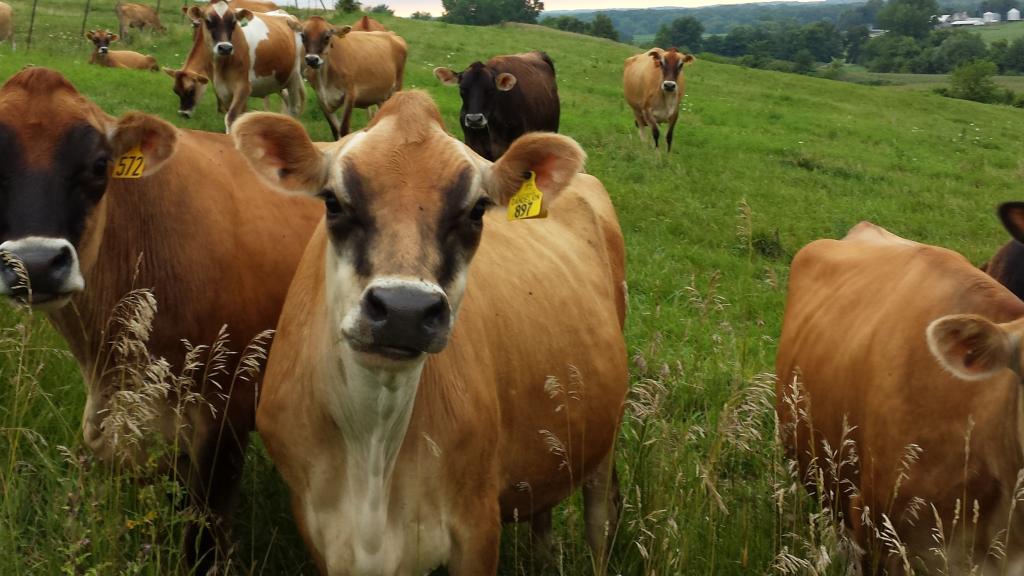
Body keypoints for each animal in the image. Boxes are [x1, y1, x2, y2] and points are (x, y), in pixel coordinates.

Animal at [186, 1, 303, 131]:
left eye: (233, 23)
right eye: (208, 21)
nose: (225, 48)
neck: (223, 65)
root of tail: (287, 15)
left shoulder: (243, 87)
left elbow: (231, 117)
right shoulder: (223, 91)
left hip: (294, 78)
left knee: (295, 108)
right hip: (279, 81)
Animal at [234, 88, 630, 569]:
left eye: (477, 210)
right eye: (332, 201)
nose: (404, 309)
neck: (373, 449)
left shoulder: (477, 524)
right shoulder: (317, 526)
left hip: (605, 434)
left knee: (599, 521)